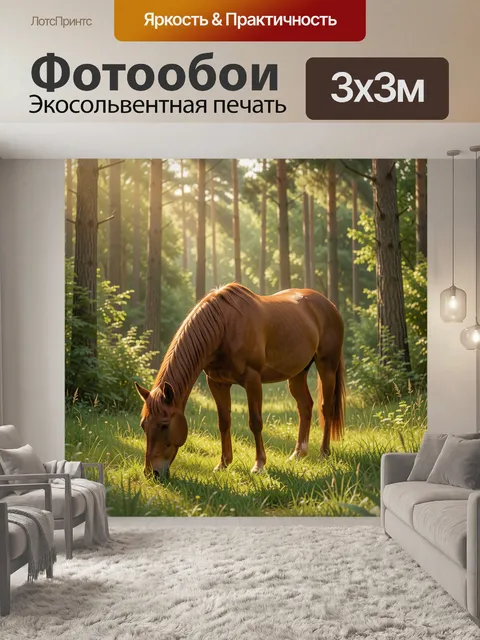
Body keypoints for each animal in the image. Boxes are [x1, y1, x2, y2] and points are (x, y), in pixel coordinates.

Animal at [135, 283, 345, 480]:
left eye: (164, 425)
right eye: (143, 425)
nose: (152, 473)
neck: (224, 326)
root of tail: (329, 305)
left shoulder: (252, 380)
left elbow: (255, 422)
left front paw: (259, 465)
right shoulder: (217, 383)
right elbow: (224, 422)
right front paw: (223, 463)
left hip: (327, 366)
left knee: (326, 408)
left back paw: (324, 453)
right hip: (298, 373)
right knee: (305, 406)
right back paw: (298, 454)